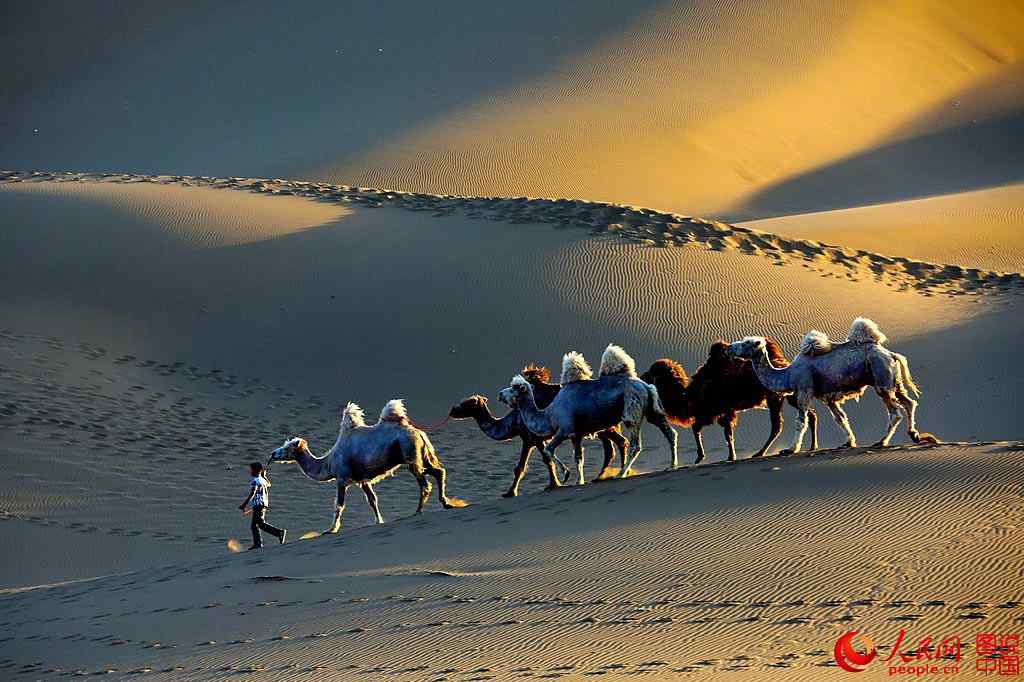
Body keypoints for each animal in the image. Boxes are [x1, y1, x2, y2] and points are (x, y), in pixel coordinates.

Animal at [268, 399, 468, 532]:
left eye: (287, 447)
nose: (273, 454)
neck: (328, 462)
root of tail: (418, 432)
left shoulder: (342, 478)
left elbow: (339, 505)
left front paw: (331, 529)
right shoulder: (362, 480)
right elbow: (372, 501)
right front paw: (379, 521)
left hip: (410, 454)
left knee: (425, 484)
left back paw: (418, 512)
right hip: (422, 455)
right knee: (439, 471)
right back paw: (446, 503)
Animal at [452, 364, 626, 491]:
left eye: (466, 403)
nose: (453, 410)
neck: (514, 420)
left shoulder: (530, 437)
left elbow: (529, 464)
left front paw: (511, 492)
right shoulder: (534, 438)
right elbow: (541, 460)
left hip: (603, 425)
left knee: (619, 443)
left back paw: (611, 474)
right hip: (602, 427)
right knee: (613, 446)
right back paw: (603, 476)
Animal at [499, 342, 675, 481]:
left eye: (514, 388)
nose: (500, 394)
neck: (549, 415)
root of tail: (645, 385)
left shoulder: (564, 429)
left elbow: (549, 450)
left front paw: (566, 474)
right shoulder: (576, 435)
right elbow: (578, 458)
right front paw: (579, 481)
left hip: (632, 413)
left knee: (635, 445)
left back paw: (621, 474)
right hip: (652, 411)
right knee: (670, 433)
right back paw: (672, 465)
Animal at [643, 339, 819, 462]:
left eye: (652, 372)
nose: (642, 376)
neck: (690, 395)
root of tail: (782, 360)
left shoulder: (716, 411)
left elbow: (709, 430)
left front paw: (710, 457)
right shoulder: (719, 412)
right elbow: (718, 431)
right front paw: (721, 456)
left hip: (774, 396)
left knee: (777, 425)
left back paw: (760, 453)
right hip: (786, 395)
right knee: (809, 414)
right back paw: (812, 446)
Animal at [729, 317, 937, 450]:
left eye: (747, 343)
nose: (731, 347)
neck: (788, 374)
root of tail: (891, 354)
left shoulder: (804, 390)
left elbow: (801, 421)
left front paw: (791, 449)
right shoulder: (828, 397)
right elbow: (841, 418)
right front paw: (849, 442)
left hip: (881, 380)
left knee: (895, 412)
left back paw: (882, 442)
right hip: (893, 381)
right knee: (909, 402)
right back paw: (914, 434)